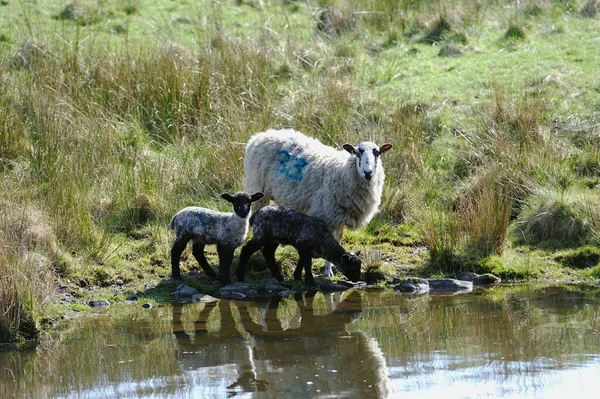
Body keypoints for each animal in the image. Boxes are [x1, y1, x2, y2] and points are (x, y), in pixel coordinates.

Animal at [244, 128, 394, 278]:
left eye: (377, 152)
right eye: (357, 152)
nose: (368, 172)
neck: (343, 171)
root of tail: (260, 135)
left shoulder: (339, 215)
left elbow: (338, 239)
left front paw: (331, 268)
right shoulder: (326, 213)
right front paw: (327, 272)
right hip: (258, 188)